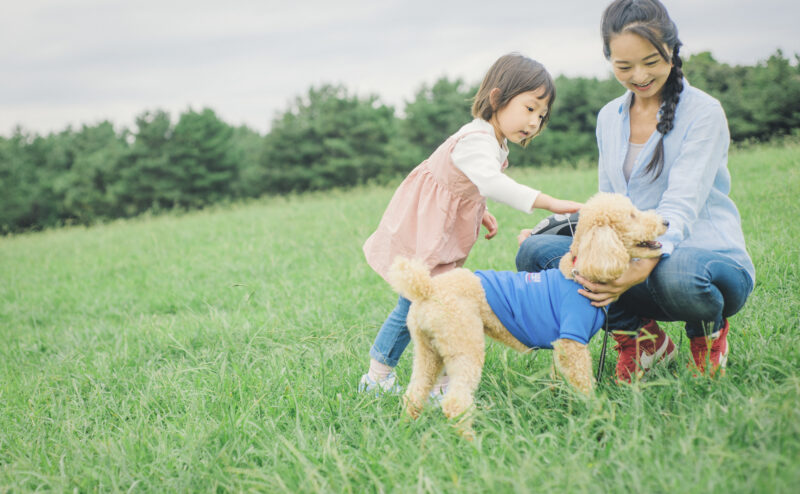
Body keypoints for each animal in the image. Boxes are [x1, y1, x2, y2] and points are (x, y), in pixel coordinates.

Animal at [390, 192, 668, 436]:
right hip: (464, 345)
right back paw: (470, 441)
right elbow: (583, 383)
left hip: (428, 351)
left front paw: (563, 405)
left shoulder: (560, 348)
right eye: (632, 215)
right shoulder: (572, 342)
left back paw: (406, 428)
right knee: (456, 403)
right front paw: (595, 413)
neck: (579, 273)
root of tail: (427, 289)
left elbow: (561, 379)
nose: (666, 221)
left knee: (414, 394)